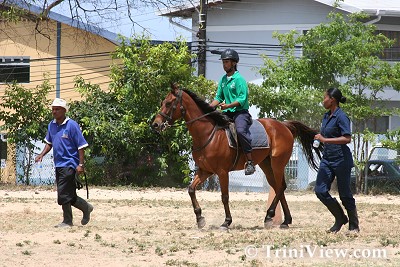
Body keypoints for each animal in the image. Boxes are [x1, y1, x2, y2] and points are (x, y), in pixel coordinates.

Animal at [151, 84, 322, 230]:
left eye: (169, 103)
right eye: (163, 102)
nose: (155, 125)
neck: (208, 134)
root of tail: (284, 126)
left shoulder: (222, 172)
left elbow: (225, 196)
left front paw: (226, 222)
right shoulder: (205, 170)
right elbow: (191, 189)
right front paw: (200, 218)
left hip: (278, 164)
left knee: (280, 187)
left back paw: (270, 216)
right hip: (267, 165)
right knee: (278, 187)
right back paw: (285, 220)